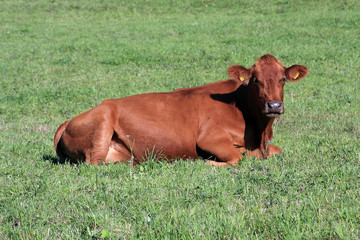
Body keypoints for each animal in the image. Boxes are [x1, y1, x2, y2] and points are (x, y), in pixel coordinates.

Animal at [53, 54, 306, 167]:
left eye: (283, 79)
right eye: (256, 81)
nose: (274, 106)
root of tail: (68, 121)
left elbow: (276, 150)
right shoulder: (209, 138)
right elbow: (238, 158)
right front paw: (210, 162)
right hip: (103, 121)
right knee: (93, 162)